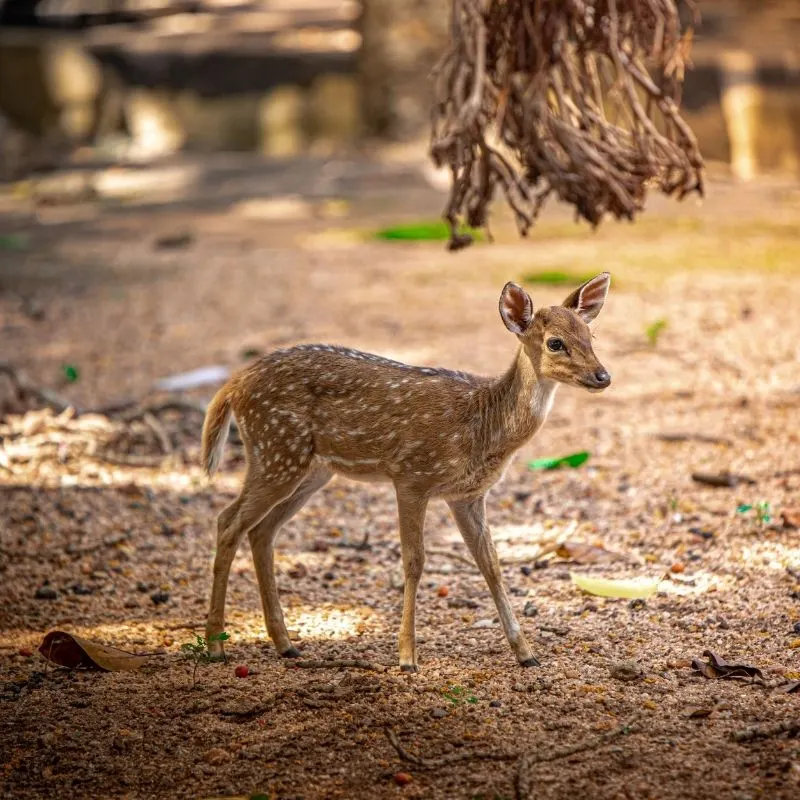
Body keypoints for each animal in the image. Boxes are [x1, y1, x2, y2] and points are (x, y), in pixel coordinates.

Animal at [200, 272, 611, 671]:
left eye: (590, 336)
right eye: (555, 343)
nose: (602, 376)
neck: (482, 426)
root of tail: (234, 384)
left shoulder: (468, 495)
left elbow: (491, 565)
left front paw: (525, 653)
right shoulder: (412, 475)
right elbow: (415, 561)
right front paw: (407, 658)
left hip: (310, 468)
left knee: (261, 531)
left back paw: (285, 644)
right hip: (275, 450)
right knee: (228, 522)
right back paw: (216, 647)